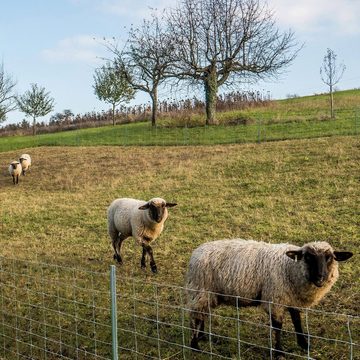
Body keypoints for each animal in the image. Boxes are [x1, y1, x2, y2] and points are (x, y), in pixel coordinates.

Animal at [187, 239, 352, 358]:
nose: (320, 278)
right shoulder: (275, 299)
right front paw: (279, 352)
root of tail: (196, 252)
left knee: (202, 314)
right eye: (308, 257)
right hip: (200, 289)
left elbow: (297, 321)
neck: (290, 267)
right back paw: (195, 345)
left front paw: (304, 344)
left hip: (207, 294)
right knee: (195, 316)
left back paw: (202, 336)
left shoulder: (292, 299)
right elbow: (278, 326)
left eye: (329, 258)